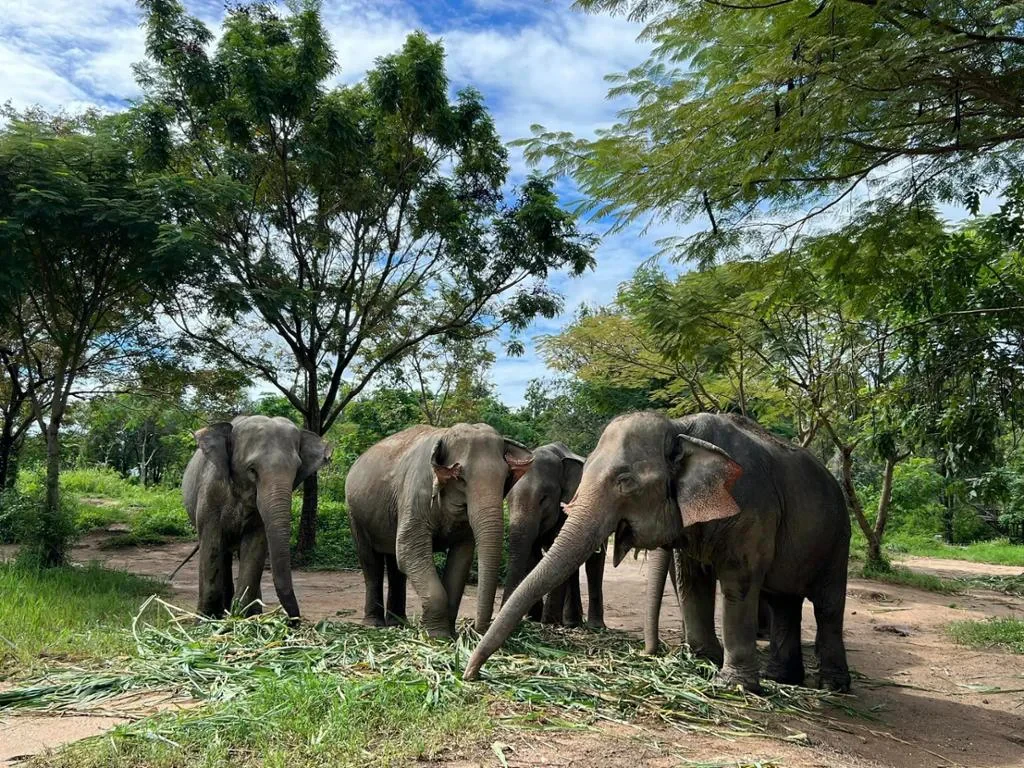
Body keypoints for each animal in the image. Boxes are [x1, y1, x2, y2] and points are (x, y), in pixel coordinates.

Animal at [182, 415, 332, 619]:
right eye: (252, 470)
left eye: (297, 470)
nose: (293, 621)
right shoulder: (210, 495)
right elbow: (211, 543)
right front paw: (206, 620)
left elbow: (255, 545)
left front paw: (242, 617)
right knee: (223, 553)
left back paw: (250, 611)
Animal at [345, 423, 533, 638]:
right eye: (460, 478)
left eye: (505, 478)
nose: (476, 630)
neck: (444, 433)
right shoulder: (415, 496)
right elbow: (409, 549)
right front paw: (437, 636)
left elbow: (461, 559)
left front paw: (450, 635)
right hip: (355, 514)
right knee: (371, 562)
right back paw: (374, 624)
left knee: (395, 565)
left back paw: (398, 624)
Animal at [502, 442, 606, 629]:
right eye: (508, 499)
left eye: (544, 499)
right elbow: (533, 555)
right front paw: (534, 618)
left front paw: (548, 621)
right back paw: (572, 622)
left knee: (594, 562)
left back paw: (594, 626)